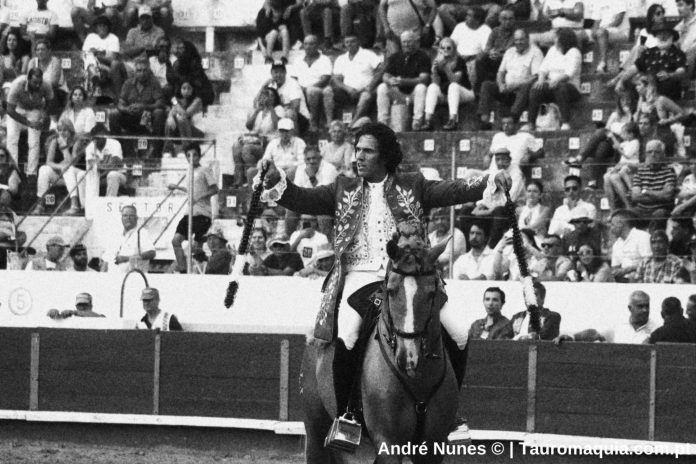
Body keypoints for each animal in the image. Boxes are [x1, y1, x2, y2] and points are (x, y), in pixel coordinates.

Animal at [300, 223, 458, 463]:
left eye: (432, 293)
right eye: (391, 291)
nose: (408, 357)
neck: (418, 381)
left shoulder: (433, 445)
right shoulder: (388, 441)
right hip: (315, 428)